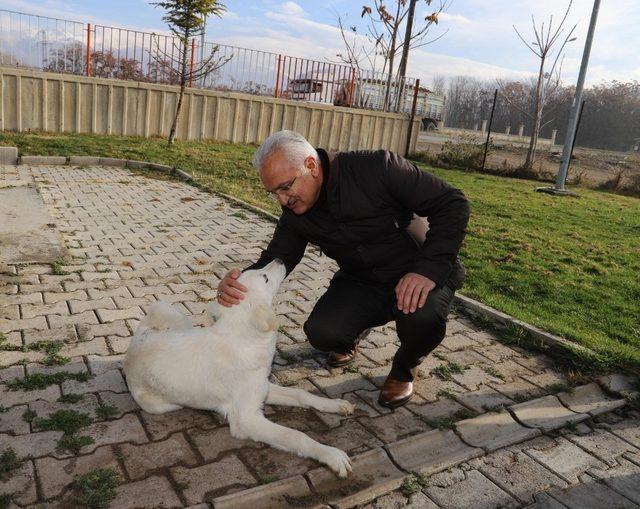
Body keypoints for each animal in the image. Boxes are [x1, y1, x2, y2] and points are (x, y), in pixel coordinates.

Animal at [124, 258, 356, 476]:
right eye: (265, 277)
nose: (280, 259)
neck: (246, 342)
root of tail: (137, 340)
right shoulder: (246, 419)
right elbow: (296, 436)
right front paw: (331, 455)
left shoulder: (263, 388)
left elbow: (302, 394)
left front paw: (335, 404)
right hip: (160, 405)